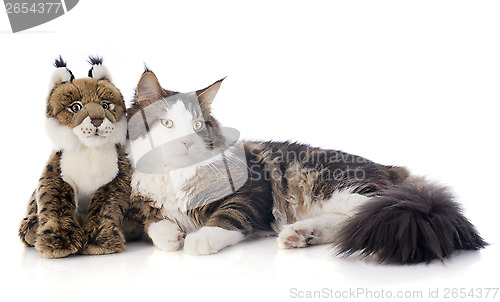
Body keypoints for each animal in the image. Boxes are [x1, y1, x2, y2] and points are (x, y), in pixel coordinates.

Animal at [127, 69, 486, 264]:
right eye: (168, 123)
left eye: (198, 125)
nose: (187, 142)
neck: (173, 176)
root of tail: (392, 168)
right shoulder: (142, 203)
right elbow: (154, 223)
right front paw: (171, 236)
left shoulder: (251, 190)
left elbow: (228, 216)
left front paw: (199, 239)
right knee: (351, 223)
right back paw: (301, 234)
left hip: (338, 186)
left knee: (370, 212)